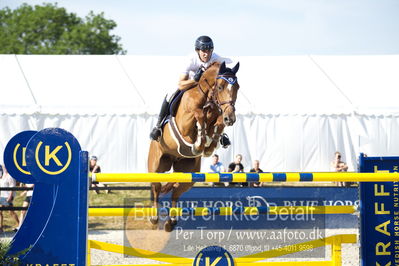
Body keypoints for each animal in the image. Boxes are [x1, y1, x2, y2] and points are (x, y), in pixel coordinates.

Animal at [148, 61, 239, 232]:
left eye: (237, 87)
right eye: (220, 87)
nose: (230, 118)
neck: (208, 97)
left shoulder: (219, 114)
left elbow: (217, 124)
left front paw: (209, 145)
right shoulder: (185, 122)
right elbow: (199, 115)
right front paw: (199, 144)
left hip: (189, 173)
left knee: (176, 192)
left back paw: (171, 222)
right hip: (156, 166)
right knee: (156, 188)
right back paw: (154, 219)